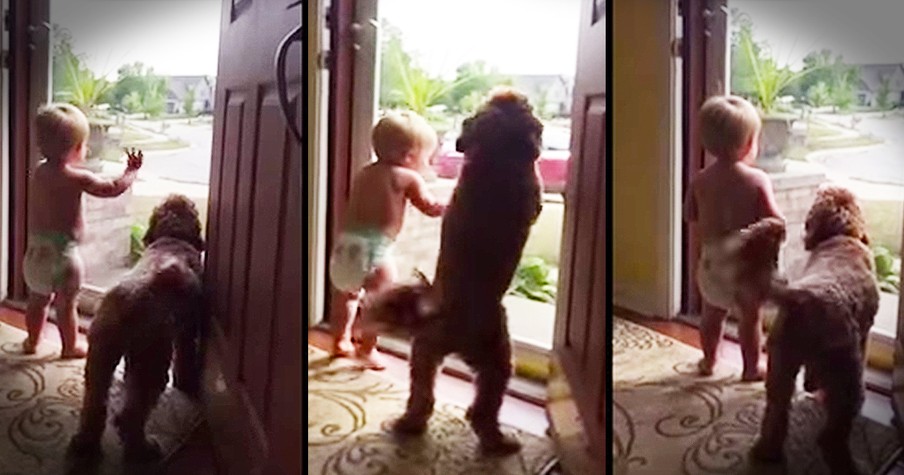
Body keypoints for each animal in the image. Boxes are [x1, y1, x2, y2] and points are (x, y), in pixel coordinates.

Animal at [67, 194, 205, 464]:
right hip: (153, 361)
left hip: (101, 356)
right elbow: (185, 358)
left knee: (95, 402)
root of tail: (128, 302)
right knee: (135, 412)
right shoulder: (187, 329)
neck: (173, 238)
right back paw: (142, 448)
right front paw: (186, 382)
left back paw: (86, 443)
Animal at [388, 89, 544, 458]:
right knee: (483, 409)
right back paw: (499, 442)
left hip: (426, 351)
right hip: (498, 355)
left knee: (424, 395)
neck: (496, 153)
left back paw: (410, 424)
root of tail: (455, 330)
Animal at [752, 184, 880, 474]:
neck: (841, 236)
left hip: (782, 363)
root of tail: (805, 298)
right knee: (832, 435)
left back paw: (767, 451)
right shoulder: (864, 333)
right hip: (848, 377)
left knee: (776, 411)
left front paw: (811, 384)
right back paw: (847, 463)